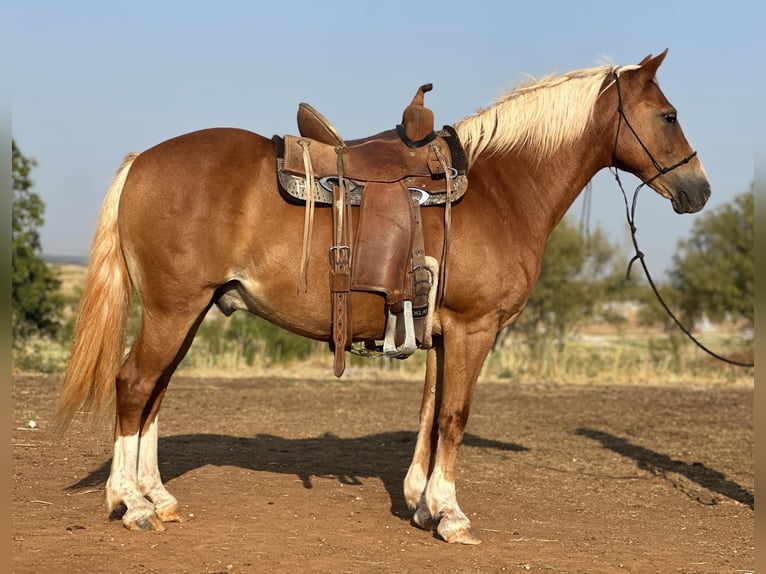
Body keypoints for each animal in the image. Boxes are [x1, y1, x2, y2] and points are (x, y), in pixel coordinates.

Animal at [57, 49, 712, 544]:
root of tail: (142, 161)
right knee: (134, 386)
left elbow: (429, 413)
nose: (699, 190)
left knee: (154, 394)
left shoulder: (443, 331)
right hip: (173, 311)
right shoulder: (474, 329)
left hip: (188, 313)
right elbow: (453, 416)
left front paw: (423, 503)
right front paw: (451, 516)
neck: (501, 188)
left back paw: (158, 496)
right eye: (669, 115)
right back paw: (131, 503)